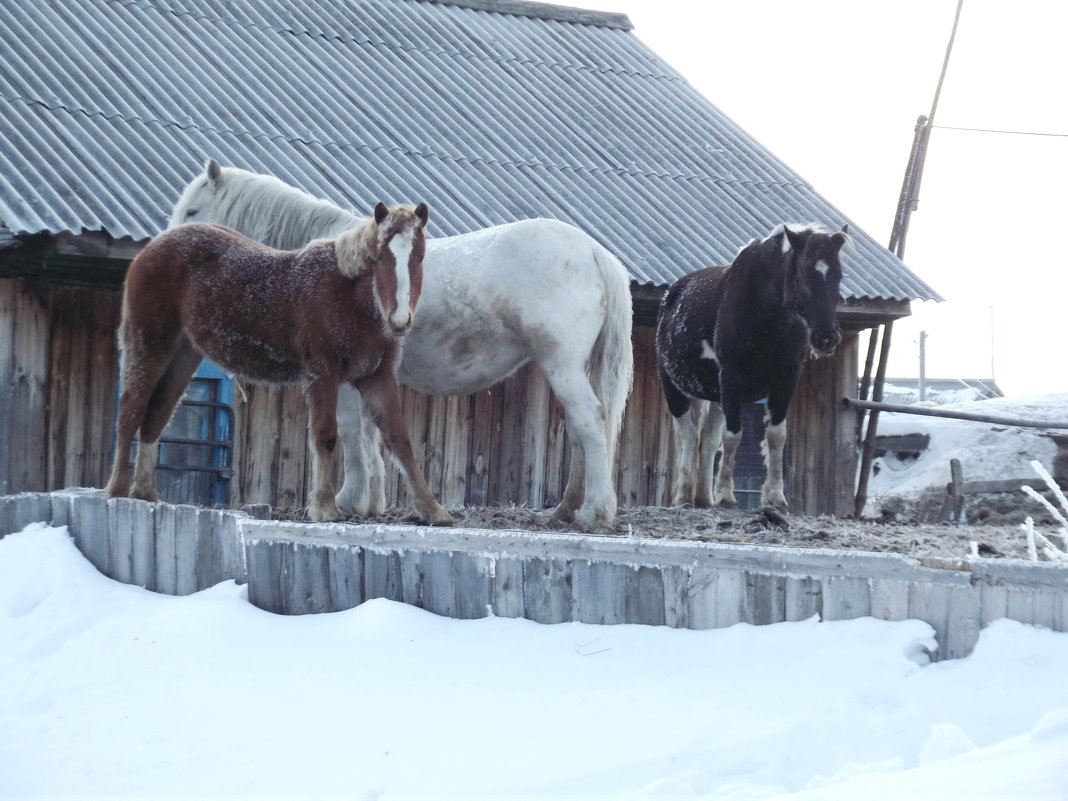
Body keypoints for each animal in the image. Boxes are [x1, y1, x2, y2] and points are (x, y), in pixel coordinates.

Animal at [107, 203, 454, 527]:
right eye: (381, 257)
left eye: (420, 256)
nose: (399, 321)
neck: (350, 296)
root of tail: (151, 249)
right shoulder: (323, 374)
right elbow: (325, 435)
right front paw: (325, 507)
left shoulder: (377, 378)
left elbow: (399, 439)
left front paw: (433, 509)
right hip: (149, 345)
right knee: (131, 411)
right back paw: (118, 491)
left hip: (183, 355)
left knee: (157, 415)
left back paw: (146, 492)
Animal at [168, 160, 632, 529]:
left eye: (192, 209)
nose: (167, 253)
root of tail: (593, 251)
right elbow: (371, 435)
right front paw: (369, 500)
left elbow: (349, 432)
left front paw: (348, 500)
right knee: (580, 431)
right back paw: (564, 511)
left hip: (562, 366)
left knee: (591, 424)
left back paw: (592, 513)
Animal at [653, 221, 845, 508]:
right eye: (803, 273)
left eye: (839, 275)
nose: (826, 338)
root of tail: (672, 295)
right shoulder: (732, 375)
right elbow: (733, 436)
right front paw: (725, 494)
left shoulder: (786, 377)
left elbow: (776, 436)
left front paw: (775, 497)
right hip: (675, 388)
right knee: (688, 436)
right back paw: (684, 496)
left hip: (716, 396)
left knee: (707, 440)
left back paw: (703, 498)